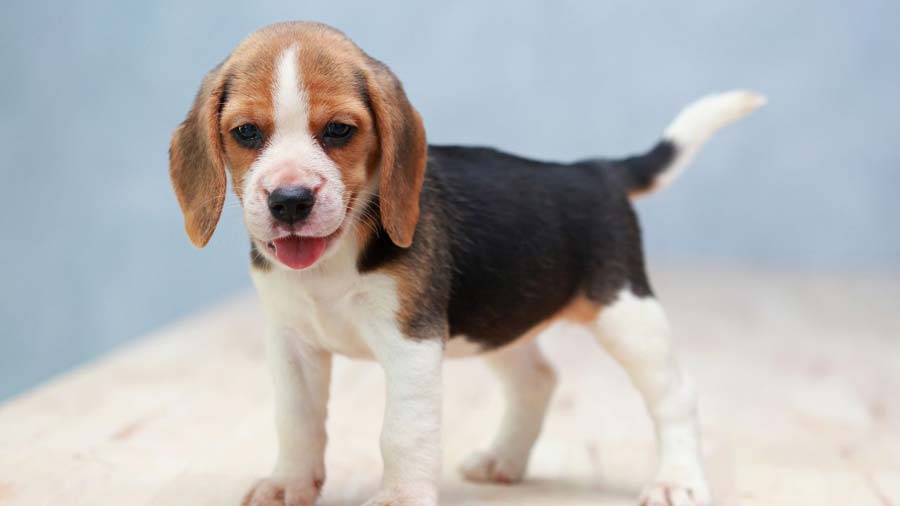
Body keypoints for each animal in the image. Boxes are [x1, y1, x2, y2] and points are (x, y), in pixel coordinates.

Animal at [167, 20, 760, 506]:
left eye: (338, 130)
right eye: (246, 132)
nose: (289, 201)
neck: (334, 259)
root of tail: (597, 171)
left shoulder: (413, 343)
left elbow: (402, 432)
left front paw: (400, 499)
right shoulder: (291, 342)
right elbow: (296, 420)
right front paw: (289, 484)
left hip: (627, 315)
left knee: (675, 397)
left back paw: (677, 481)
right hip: (500, 316)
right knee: (537, 380)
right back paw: (504, 459)